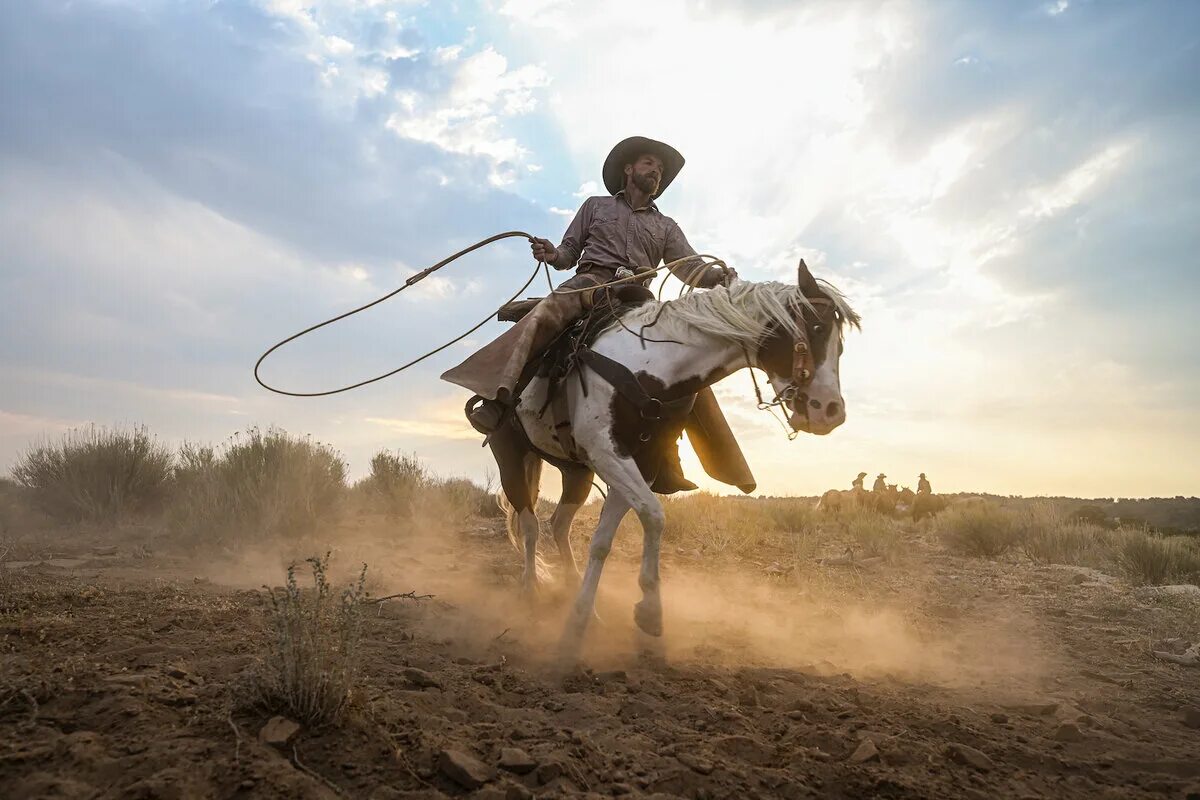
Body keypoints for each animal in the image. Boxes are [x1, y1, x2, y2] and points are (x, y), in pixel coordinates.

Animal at [482, 260, 859, 662]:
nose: (831, 412)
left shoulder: (638, 463)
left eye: (840, 344)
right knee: (530, 524)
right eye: (816, 329)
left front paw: (587, 618)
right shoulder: (606, 451)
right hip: (510, 456)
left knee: (558, 526)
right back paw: (530, 589)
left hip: (576, 472)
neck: (651, 366)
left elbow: (607, 538)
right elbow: (654, 515)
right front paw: (648, 611)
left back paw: (569, 589)